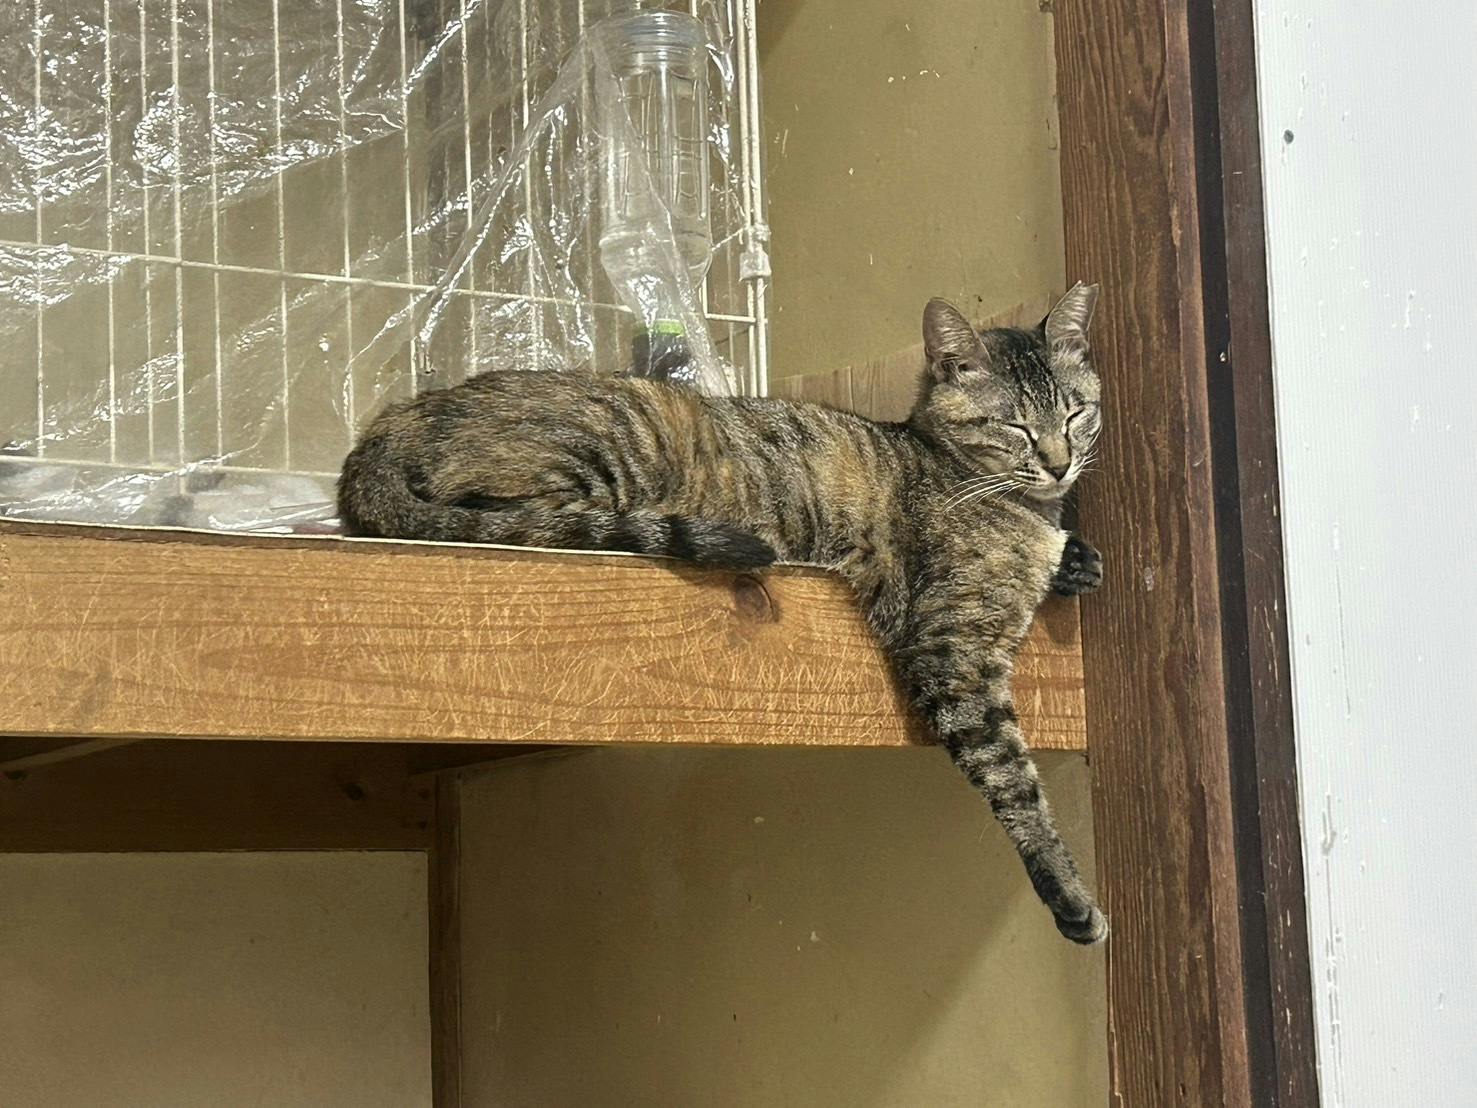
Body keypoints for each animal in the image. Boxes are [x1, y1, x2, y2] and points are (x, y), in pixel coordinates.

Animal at [339, 284, 1108, 943]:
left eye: (1074, 413)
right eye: (1013, 425)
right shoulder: (952, 650)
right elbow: (1013, 782)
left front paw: (1077, 559)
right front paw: (1068, 892)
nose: (1059, 463)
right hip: (594, 459)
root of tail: (390, 424)